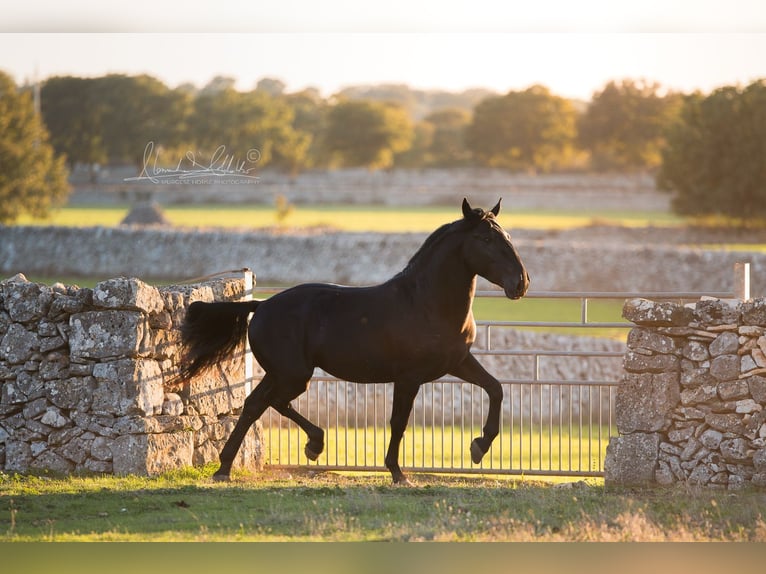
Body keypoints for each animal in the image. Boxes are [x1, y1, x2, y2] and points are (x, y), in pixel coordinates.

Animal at [176, 198, 530, 484]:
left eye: (509, 237)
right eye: (486, 239)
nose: (521, 283)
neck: (426, 303)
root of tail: (260, 306)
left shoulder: (457, 362)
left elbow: (495, 388)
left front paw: (478, 446)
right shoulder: (409, 377)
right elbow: (398, 422)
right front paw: (397, 472)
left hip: (281, 373)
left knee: (254, 405)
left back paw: (225, 468)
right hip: (294, 375)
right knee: (272, 403)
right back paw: (313, 445)